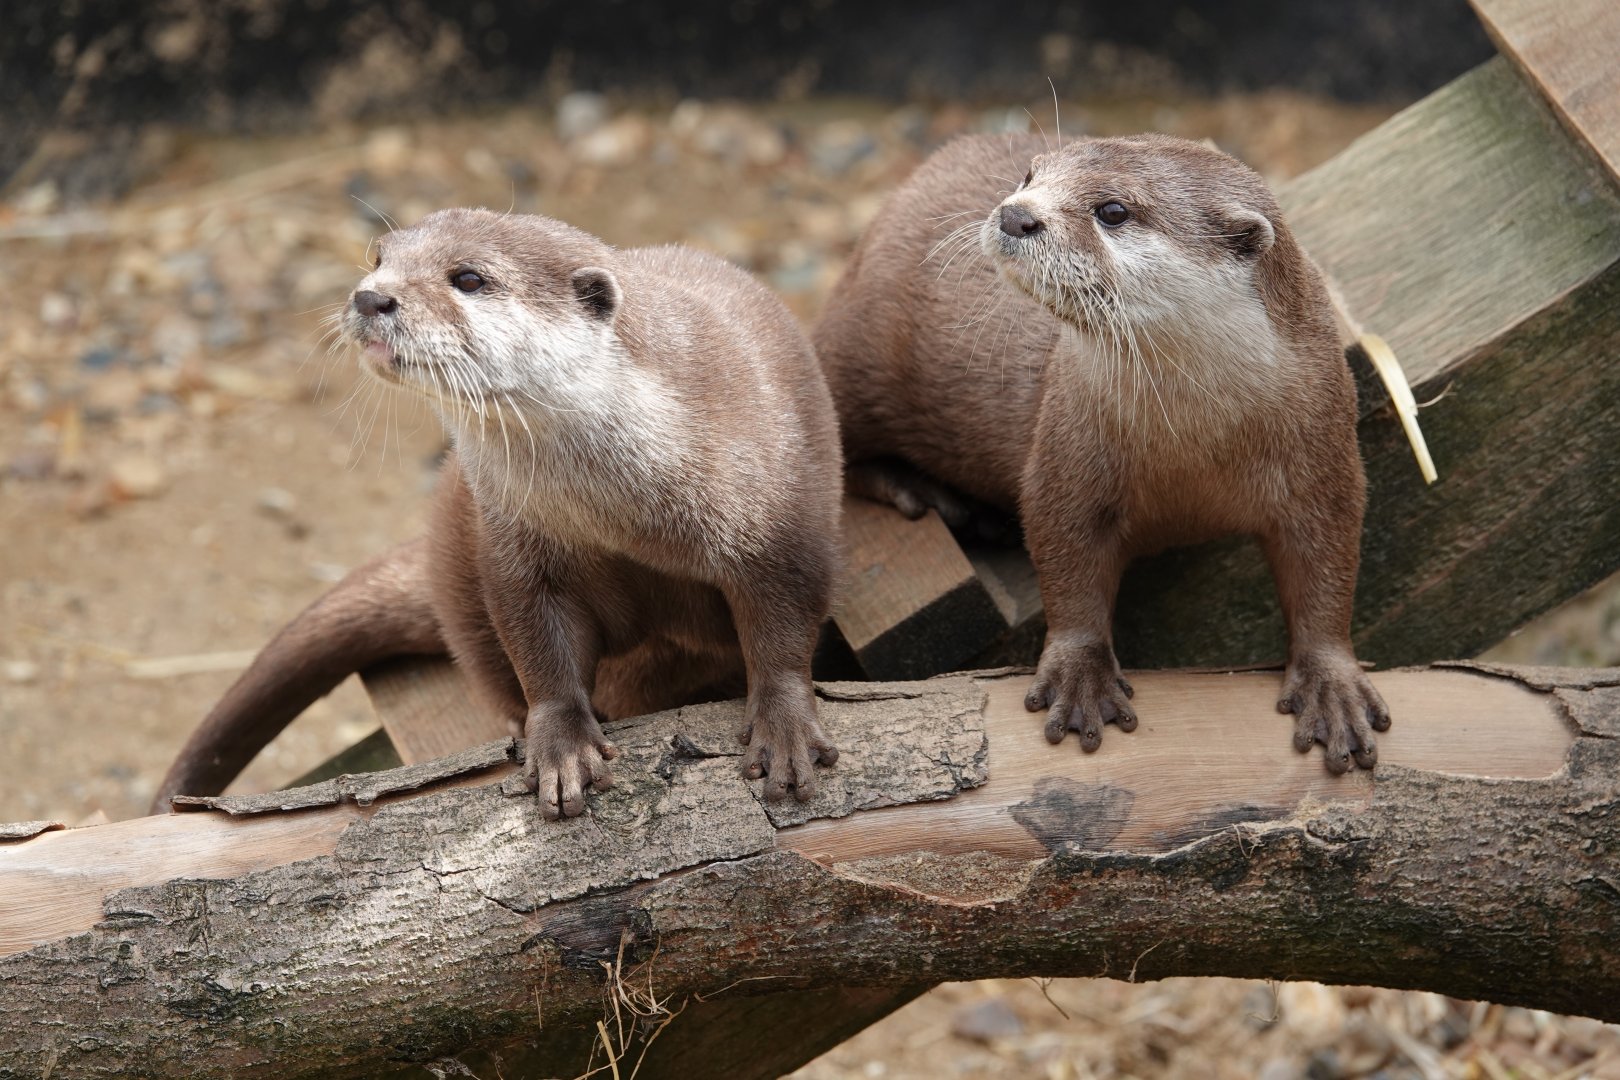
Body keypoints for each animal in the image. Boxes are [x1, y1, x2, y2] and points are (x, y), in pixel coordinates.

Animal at [153, 208, 843, 818]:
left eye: (468, 278)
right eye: (379, 258)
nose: (371, 297)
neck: (628, 515)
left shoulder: (780, 515)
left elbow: (783, 623)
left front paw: (784, 732)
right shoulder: (516, 542)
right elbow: (536, 642)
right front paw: (562, 747)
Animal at [814, 133, 1390, 773]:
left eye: (1113, 210)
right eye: (1030, 174)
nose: (1016, 213)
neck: (1194, 447)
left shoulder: (1324, 447)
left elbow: (1327, 569)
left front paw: (1331, 686)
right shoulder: (1065, 451)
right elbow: (1068, 565)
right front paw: (1081, 678)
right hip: (855, 344)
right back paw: (924, 492)